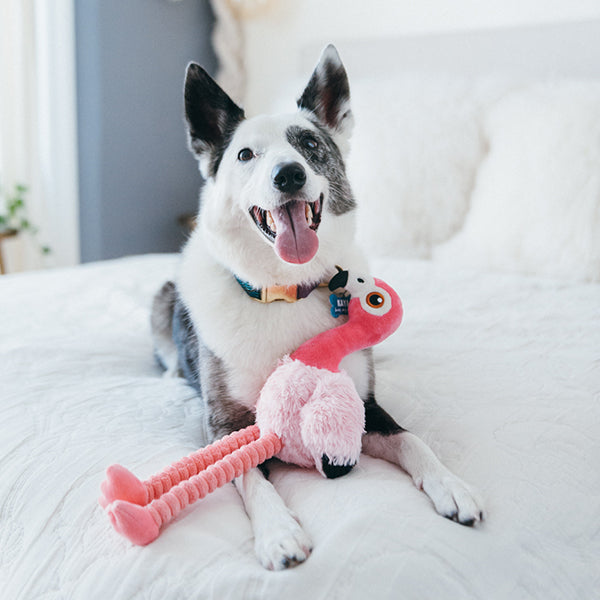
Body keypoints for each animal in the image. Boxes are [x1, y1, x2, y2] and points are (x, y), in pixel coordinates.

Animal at [152, 44, 486, 568]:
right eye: (245, 155)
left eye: (309, 144)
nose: (289, 175)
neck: (284, 290)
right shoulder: (223, 423)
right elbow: (247, 472)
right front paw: (278, 532)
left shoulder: (367, 405)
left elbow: (412, 438)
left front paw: (450, 484)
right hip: (162, 297)